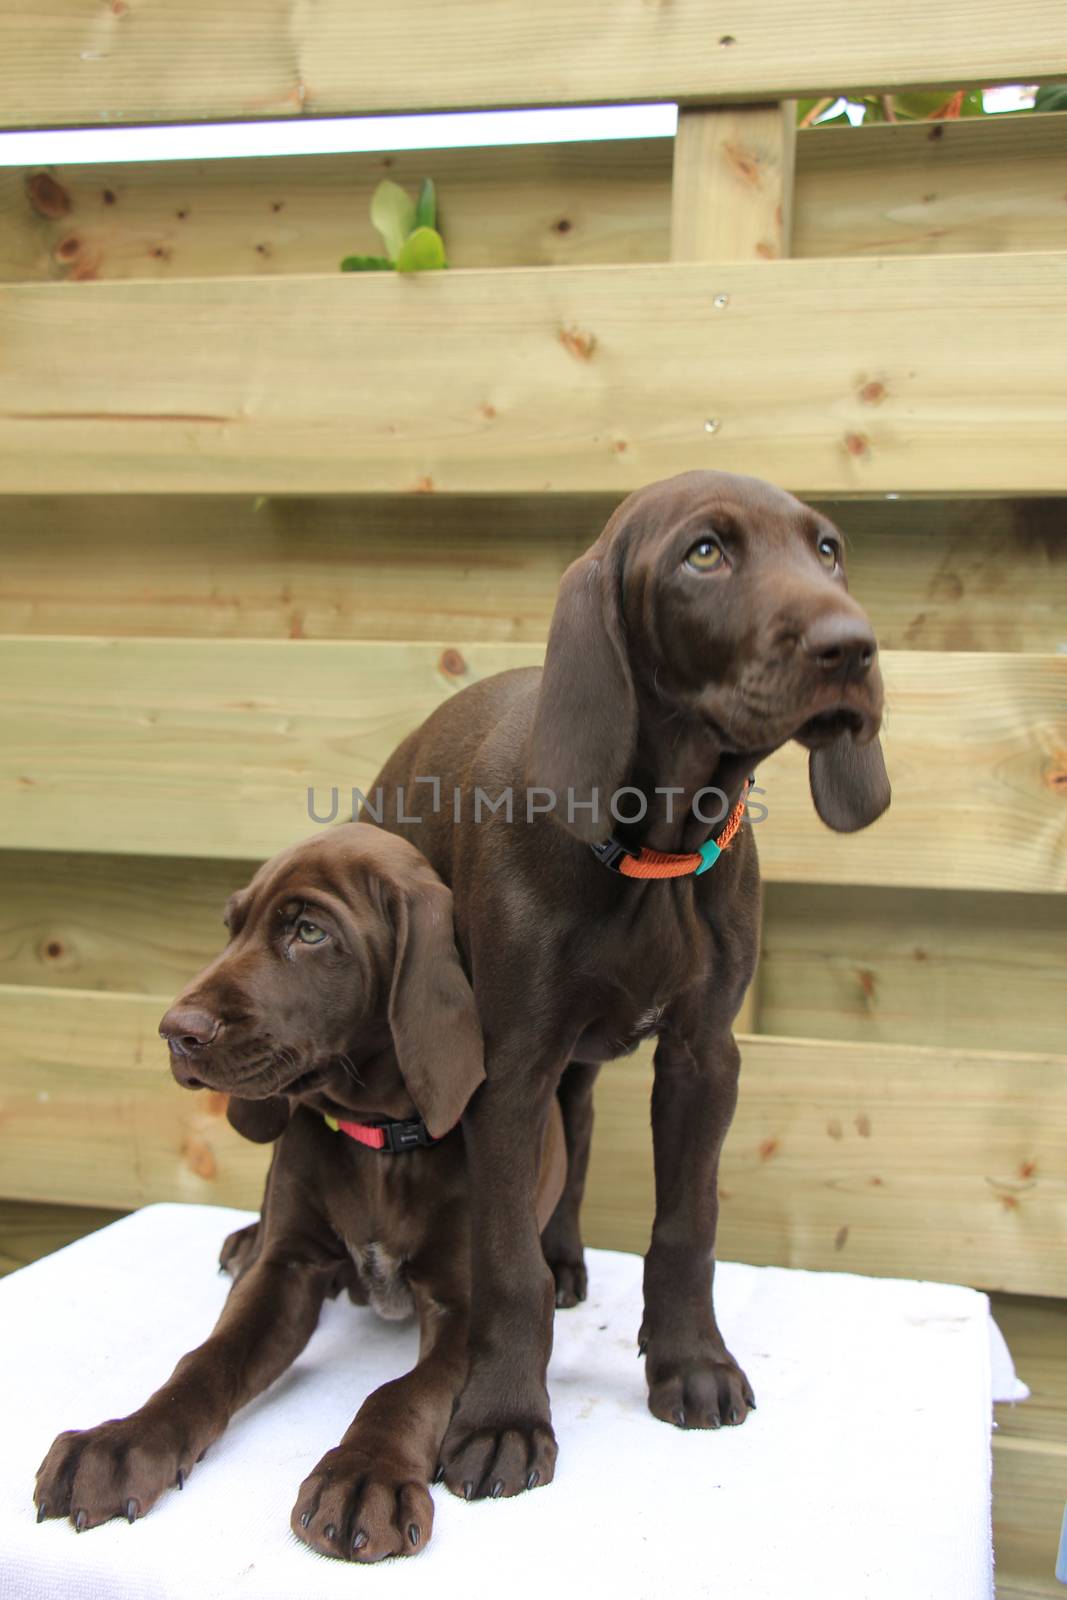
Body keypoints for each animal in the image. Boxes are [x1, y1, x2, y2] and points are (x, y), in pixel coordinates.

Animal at [33, 825, 566, 1561]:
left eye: (310, 932)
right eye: (231, 927)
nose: (175, 1031)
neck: (381, 1141)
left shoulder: (463, 1304)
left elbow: (402, 1393)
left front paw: (365, 1475)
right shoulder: (287, 1272)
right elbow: (206, 1360)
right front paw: (122, 1442)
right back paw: (242, 1242)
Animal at [371, 470, 889, 1497]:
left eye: (827, 550)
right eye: (704, 554)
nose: (851, 646)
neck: (655, 850)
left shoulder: (702, 1057)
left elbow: (686, 1228)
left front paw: (690, 1362)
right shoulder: (508, 1071)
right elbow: (503, 1264)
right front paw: (501, 1416)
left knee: (574, 1140)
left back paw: (568, 1253)